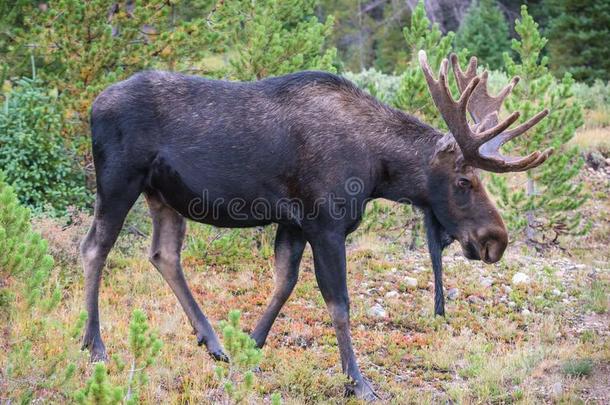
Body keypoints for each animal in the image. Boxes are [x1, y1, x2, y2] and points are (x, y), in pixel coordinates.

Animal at [78, 49, 548, 398]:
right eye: (464, 181)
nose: (496, 240)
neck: (378, 170)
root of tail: (93, 105)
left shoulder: (294, 224)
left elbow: (284, 283)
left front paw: (250, 348)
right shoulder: (326, 225)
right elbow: (338, 304)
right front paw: (358, 382)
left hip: (164, 196)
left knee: (164, 254)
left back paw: (212, 342)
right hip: (119, 179)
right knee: (94, 247)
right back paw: (95, 345)